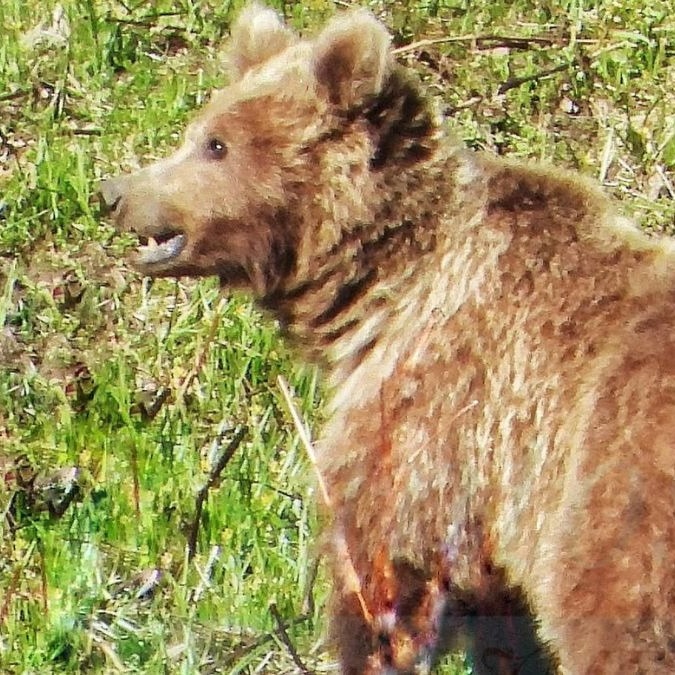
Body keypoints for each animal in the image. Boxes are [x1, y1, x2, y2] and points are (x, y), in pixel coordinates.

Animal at [100, 3, 675, 673]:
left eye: (216, 144)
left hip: (616, 501)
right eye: (198, 130)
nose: (115, 193)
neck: (384, 287)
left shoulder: (437, 404)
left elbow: (386, 560)